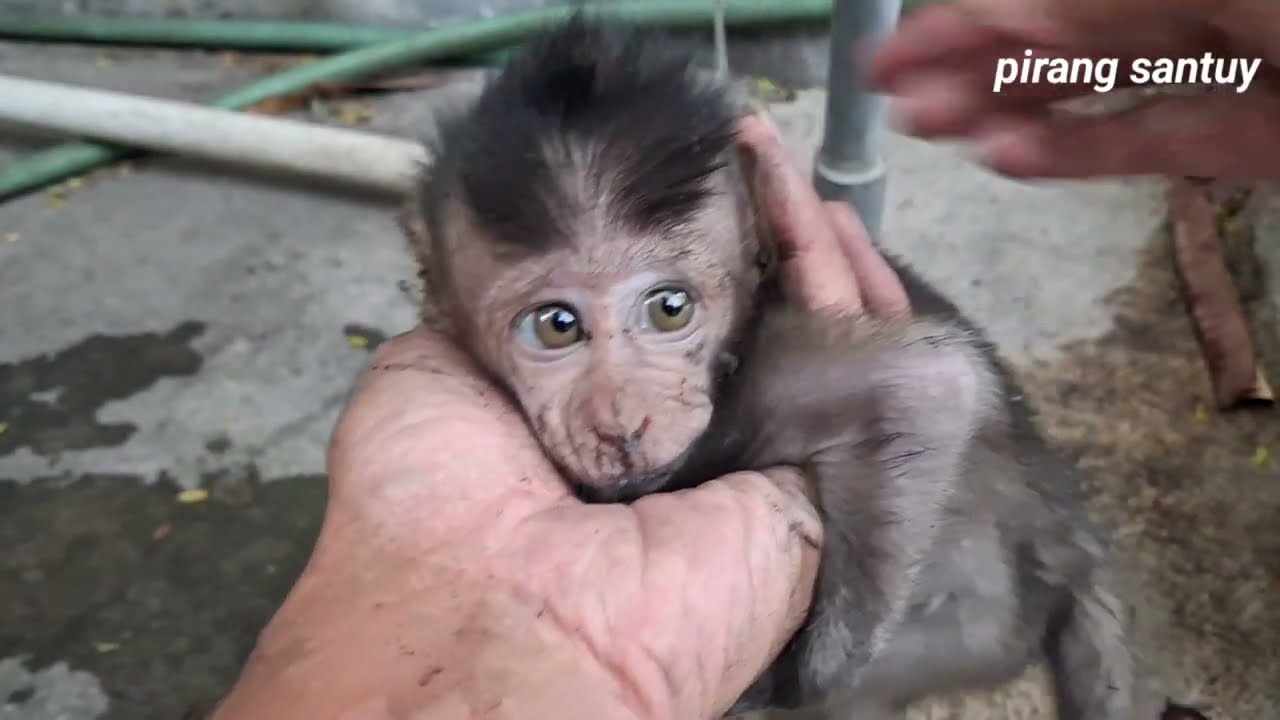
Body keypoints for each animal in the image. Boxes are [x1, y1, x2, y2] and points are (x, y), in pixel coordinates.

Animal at [398, 16, 1157, 720]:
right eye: (556, 325)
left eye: (669, 309)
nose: (622, 424)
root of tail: (1068, 526)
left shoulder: (769, 376)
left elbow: (930, 386)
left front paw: (814, 668)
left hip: (979, 629)